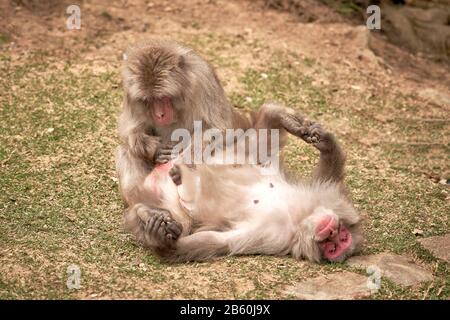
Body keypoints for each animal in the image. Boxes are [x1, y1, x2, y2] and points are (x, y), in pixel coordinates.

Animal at [132, 117, 364, 262]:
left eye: (334, 247)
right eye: (340, 237)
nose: (332, 231)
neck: (300, 219)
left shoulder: (275, 238)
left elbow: (219, 242)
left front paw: (162, 243)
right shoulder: (326, 197)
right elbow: (327, 178)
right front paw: (326, 143)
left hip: (173, 205)